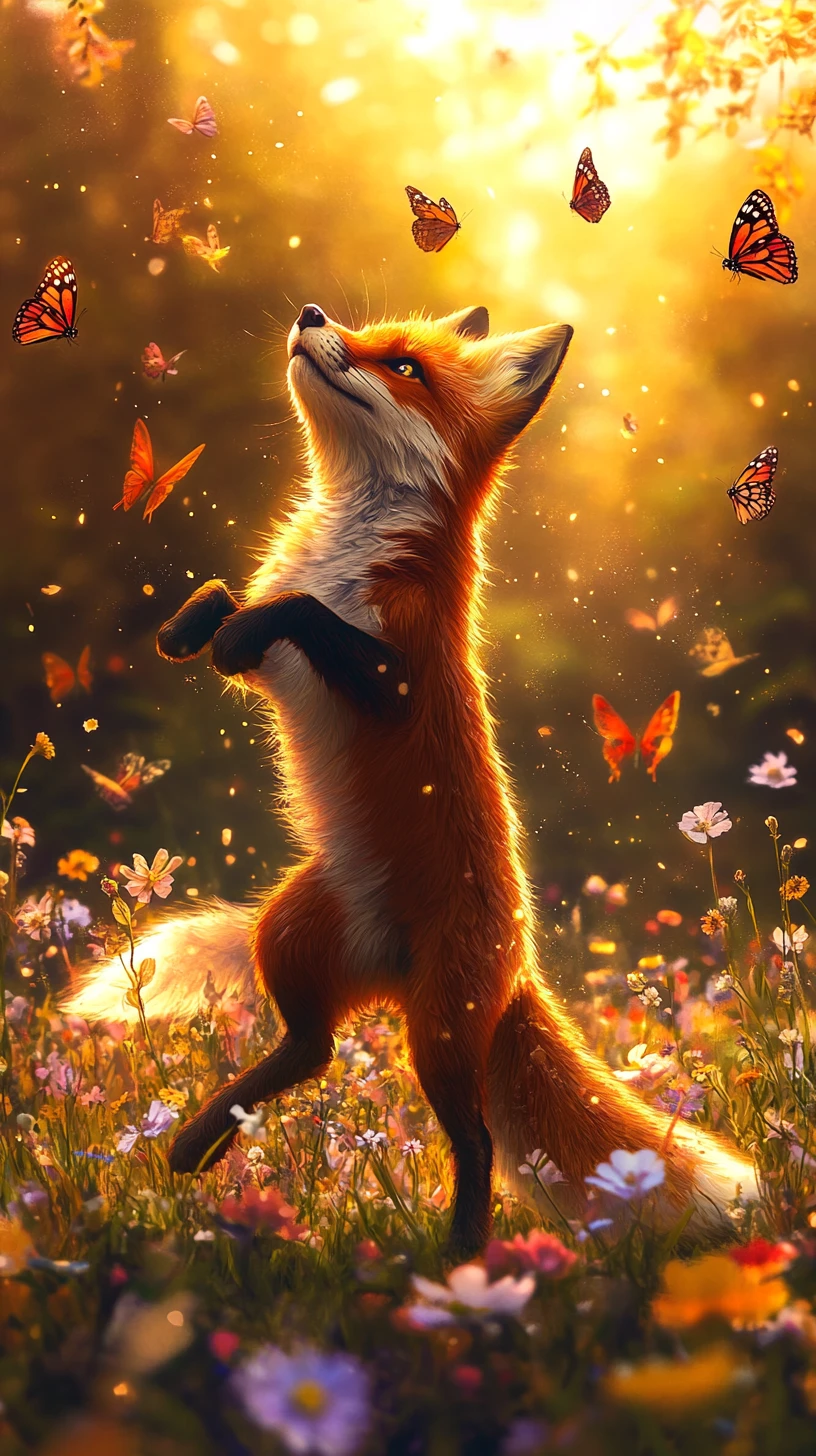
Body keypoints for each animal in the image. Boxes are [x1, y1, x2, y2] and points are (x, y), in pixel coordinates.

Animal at [68, 302, 757, 1256]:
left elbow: (295, 614)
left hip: (438, 1031)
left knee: (473, 1141)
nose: (312, 314)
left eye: (402, 366)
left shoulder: (401, 674)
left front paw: (237, 632)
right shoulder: (276, 646)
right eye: (364, 332)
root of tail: (520, 961)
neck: (346, 549)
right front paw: (188, 631)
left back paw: (459, 1253)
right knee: (312, 1048)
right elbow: (226, 598)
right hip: (292, 935)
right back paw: (196, 1144)